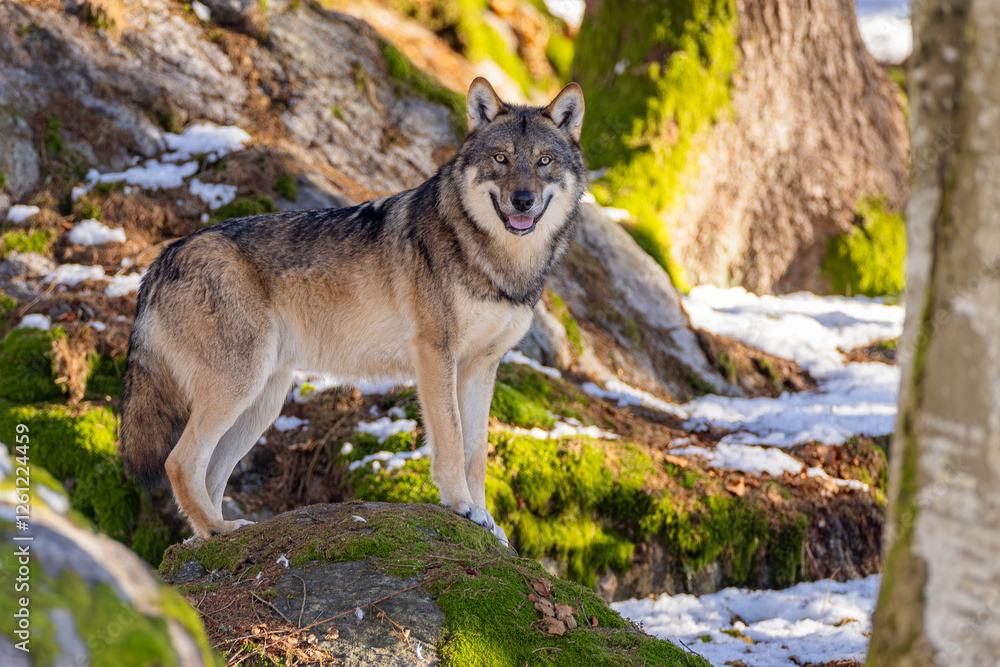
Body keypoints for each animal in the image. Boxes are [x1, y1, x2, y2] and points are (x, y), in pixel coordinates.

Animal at [118, 78, 587, 545]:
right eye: (500, 158)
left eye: (543, 161)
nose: (522, 200)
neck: (500, 263)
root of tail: (160, 260)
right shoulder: (436, 355)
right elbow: (453, 440)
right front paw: (462, 506)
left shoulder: (481, 367)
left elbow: (477, 451)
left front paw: (486, 521)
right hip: (240, 386)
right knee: (179, 462)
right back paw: (215, 528)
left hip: (263, 400)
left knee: (212, 474)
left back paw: (218, 532)